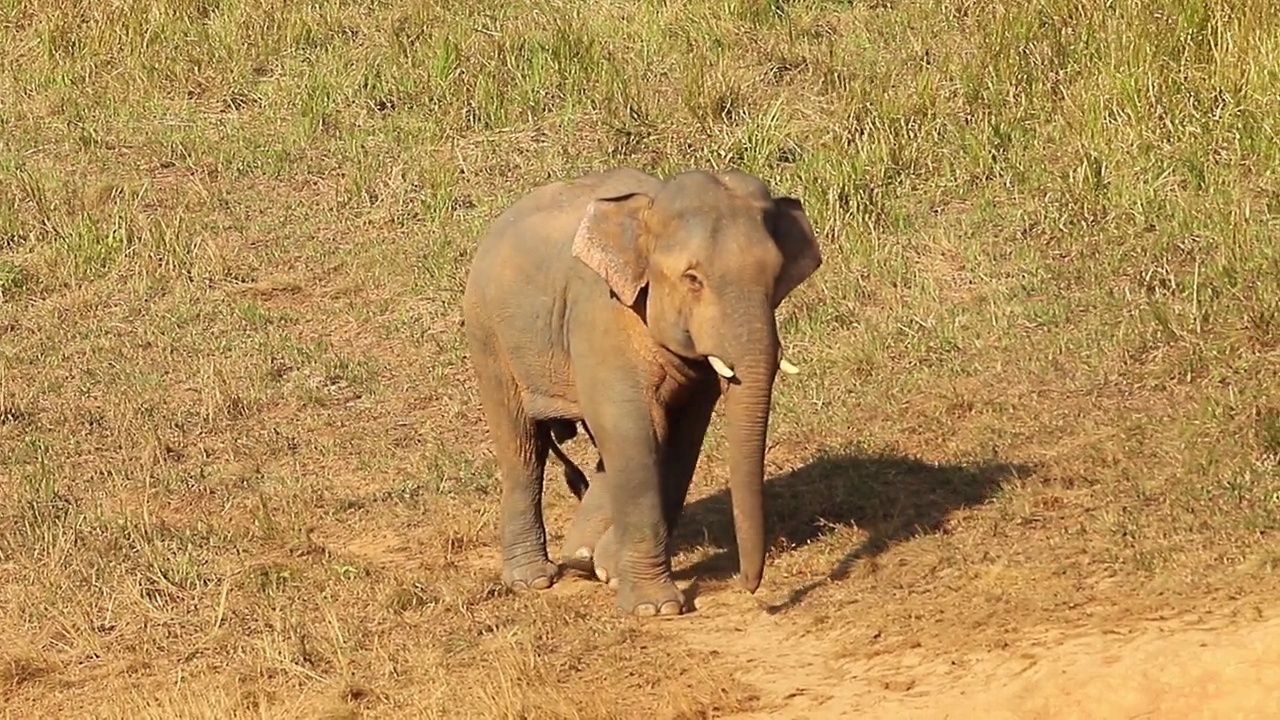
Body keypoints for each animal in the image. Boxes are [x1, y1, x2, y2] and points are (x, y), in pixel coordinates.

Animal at [460, 165, 819, 614]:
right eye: (693, 280)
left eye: (776, 278)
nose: (747, 587)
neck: (650, 208)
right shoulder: (601, 315)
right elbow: (633, 433)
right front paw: (655, 607)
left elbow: (680, 440)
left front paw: (611, 571)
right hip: (489, 337)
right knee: (522, 446)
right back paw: (533, 579)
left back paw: (582, 558)